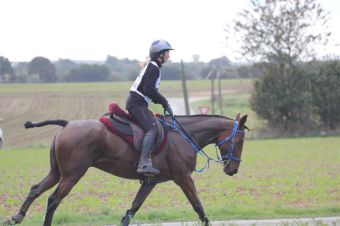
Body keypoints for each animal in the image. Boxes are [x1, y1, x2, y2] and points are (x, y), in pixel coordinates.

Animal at [2, 112, 247, 225]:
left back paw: (17, 216)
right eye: (240, 140)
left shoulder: (150, 182)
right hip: (72, 175)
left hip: (57, 173)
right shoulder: (183, 178)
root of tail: (68, 124)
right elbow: (198, 206)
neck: (186, 136)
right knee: (53, 199)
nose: (233, 170)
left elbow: (134, 207)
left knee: (36, 189)